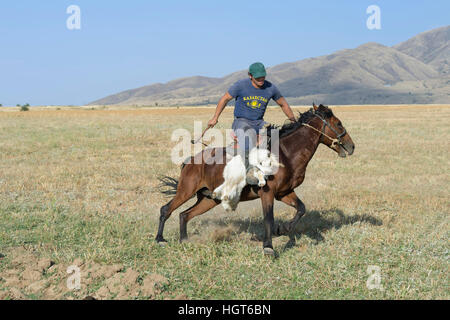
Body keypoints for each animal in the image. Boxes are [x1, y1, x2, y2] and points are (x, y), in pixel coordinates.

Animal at [157, 104, 356, 255]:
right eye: (338, 124)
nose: (352, 146)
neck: (286, 154)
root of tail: (190, 161)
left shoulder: (285, 193)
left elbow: (301, 208)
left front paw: (282, 230)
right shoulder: (267, 193)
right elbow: (268, 218)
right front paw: (268, 247)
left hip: (209, 199)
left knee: (184, 215)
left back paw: (184, 240)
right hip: (186, 190)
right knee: (166, 209)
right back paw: (160, 240)